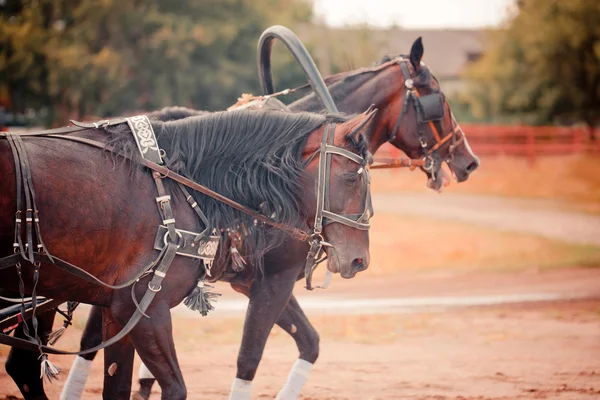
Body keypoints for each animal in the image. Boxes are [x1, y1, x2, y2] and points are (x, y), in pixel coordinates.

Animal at [0, 108, 376, 398]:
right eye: (353, 177)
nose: (360, 259)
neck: (175, 185)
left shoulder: (117, 310)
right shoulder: (145, 308)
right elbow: (227, 367)